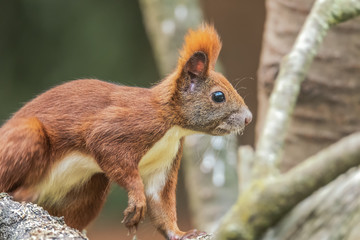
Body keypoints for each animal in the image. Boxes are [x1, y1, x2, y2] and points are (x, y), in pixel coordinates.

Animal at [0, 24, 252, 240]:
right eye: (218, 96)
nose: (248, 118)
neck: (171, 127)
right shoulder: (121, 127)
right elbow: (113, 156)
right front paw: (137, 201)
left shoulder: (164, 162)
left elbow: (160, 202)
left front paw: (182, 233)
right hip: (28, 137)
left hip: (91, 187)